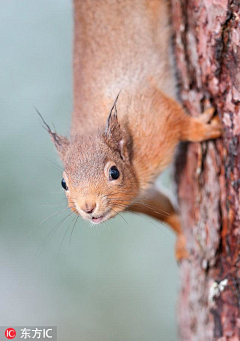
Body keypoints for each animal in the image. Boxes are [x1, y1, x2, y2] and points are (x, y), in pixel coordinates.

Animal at [39, 0, 221, 260]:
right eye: (64, 183)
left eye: (114, 172)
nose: (88, 207)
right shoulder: (141, 196)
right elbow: (164, 210)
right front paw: (182, 237)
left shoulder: (154, 118)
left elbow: (178, 122)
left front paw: (201, 127)